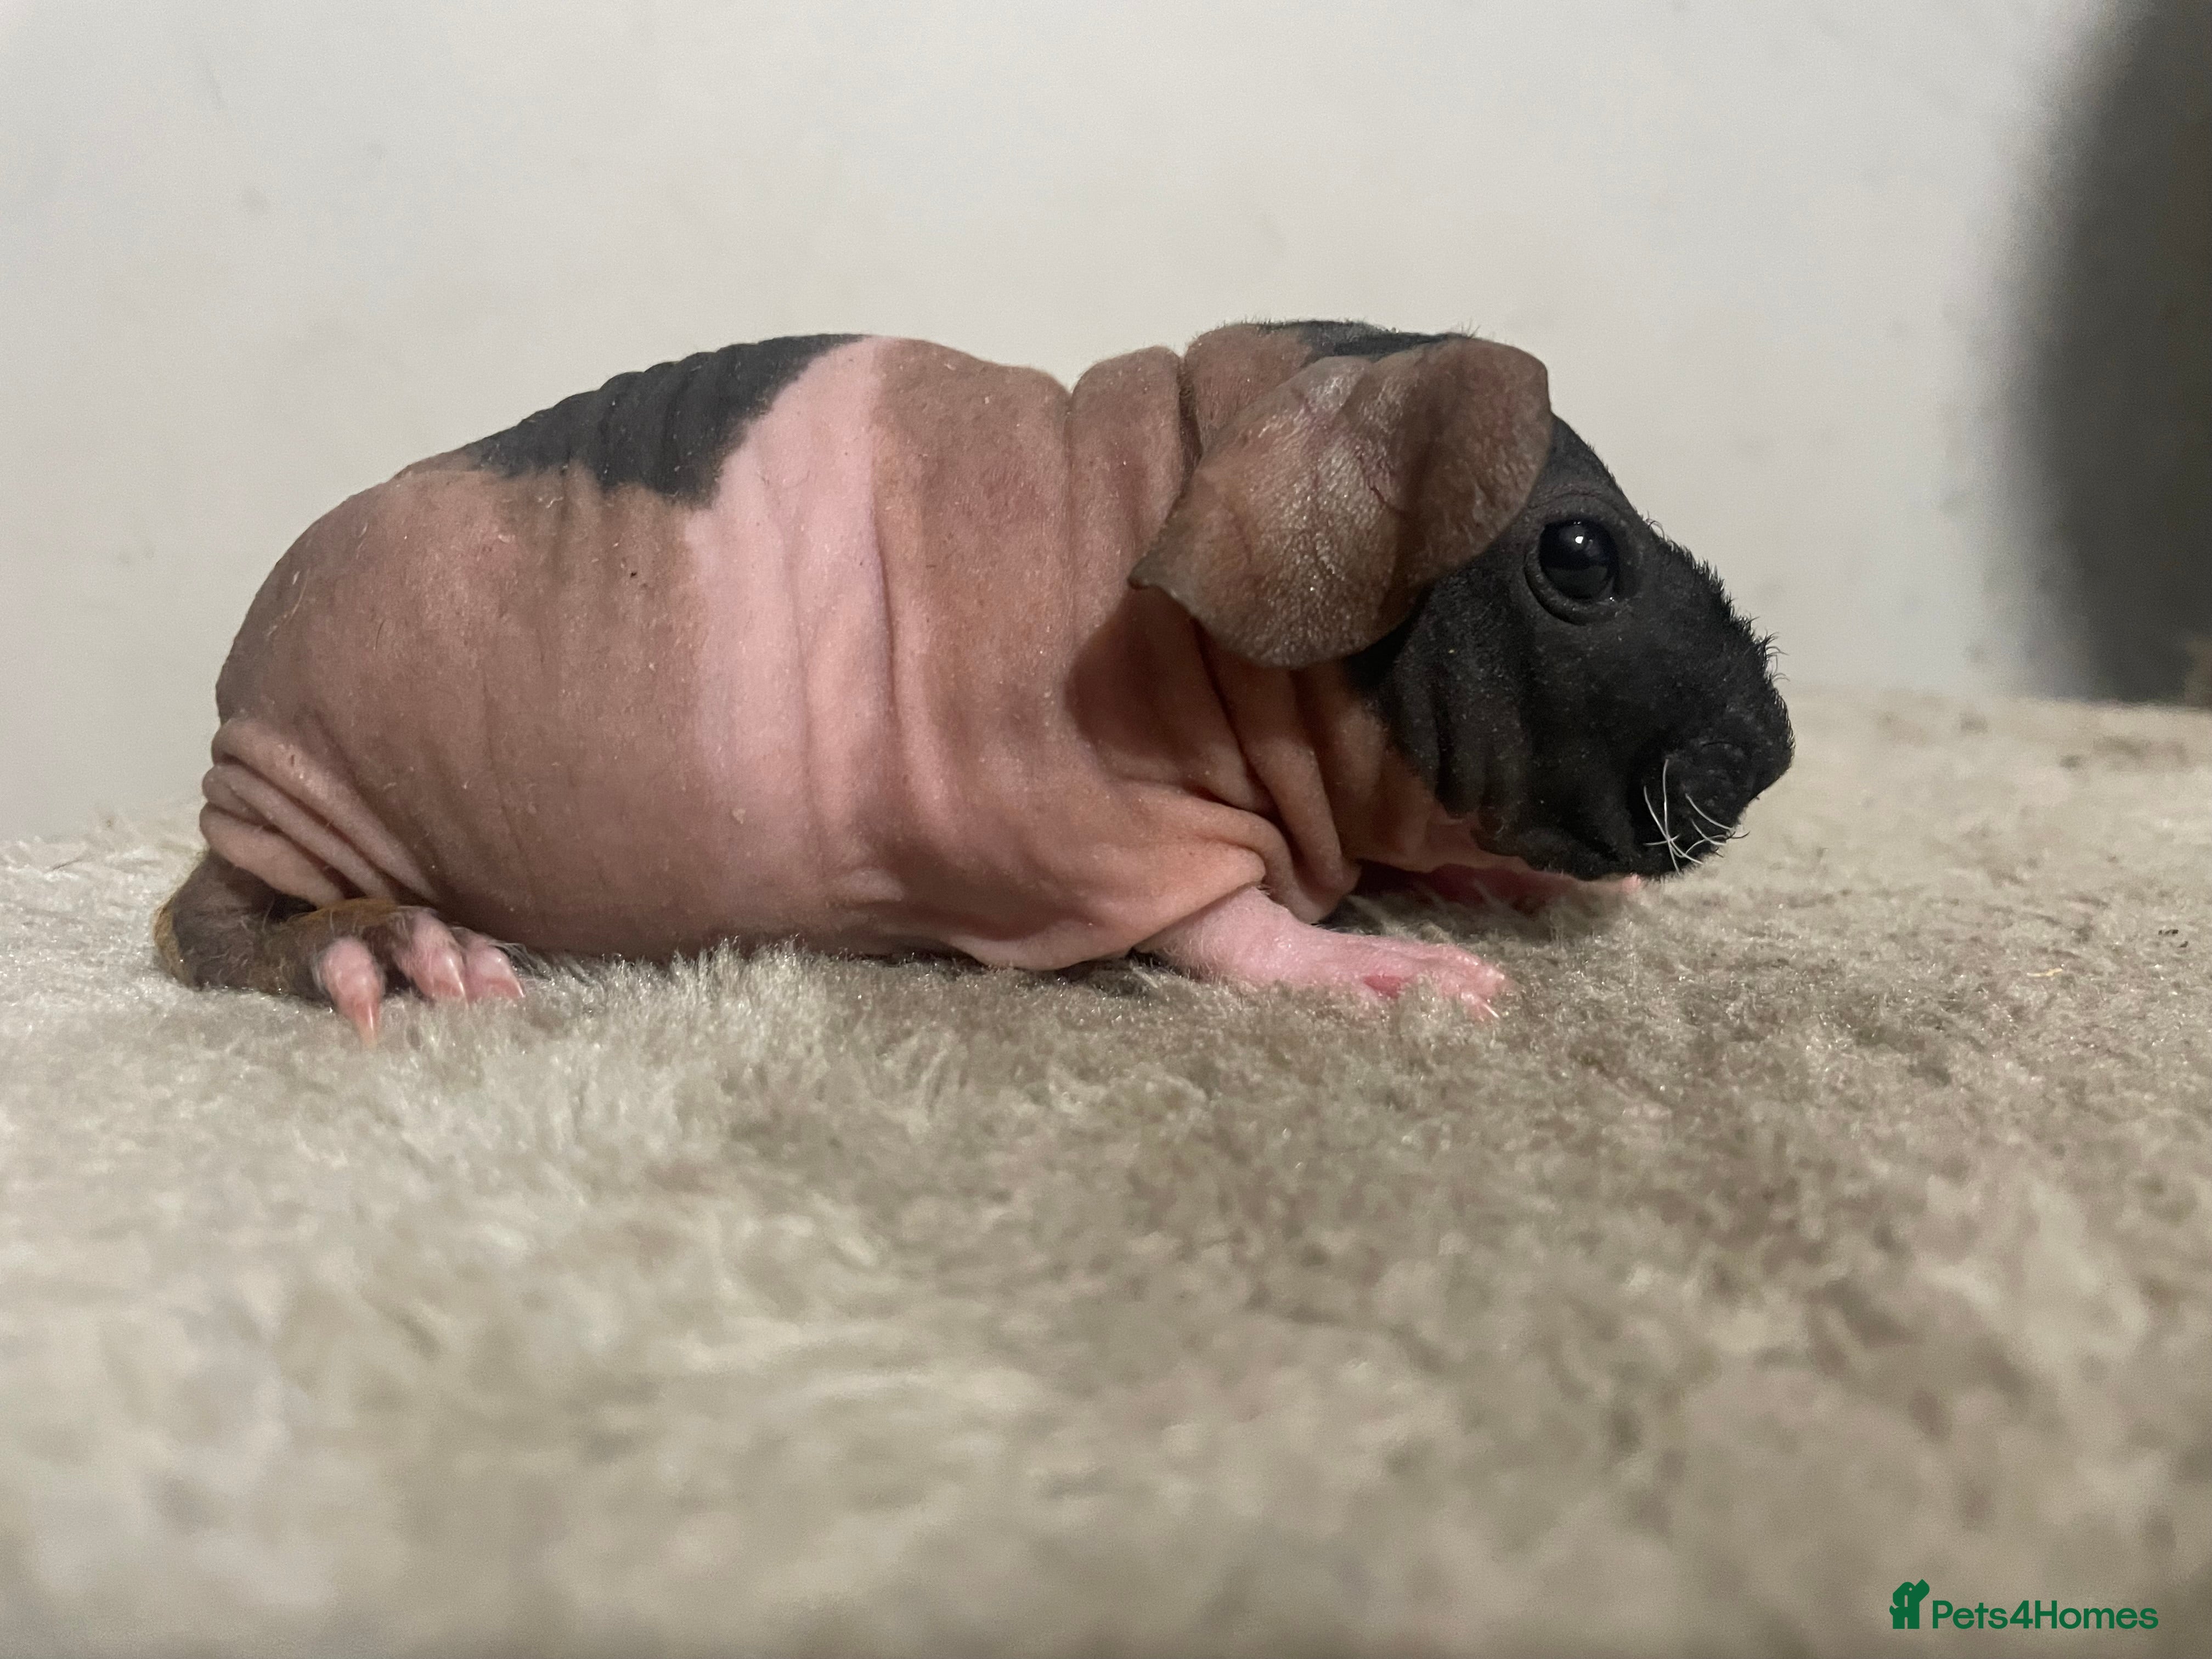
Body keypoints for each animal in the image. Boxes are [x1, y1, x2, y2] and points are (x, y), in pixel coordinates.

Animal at [153, 321, 1794, 1039]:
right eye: (1580, 556)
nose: (1771, 749)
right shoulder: (1067, 835)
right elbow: (1225, 927)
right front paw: (1381, 964)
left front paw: (1490, 885)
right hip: (298, 788)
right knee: (206, 929)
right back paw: (382, 952)